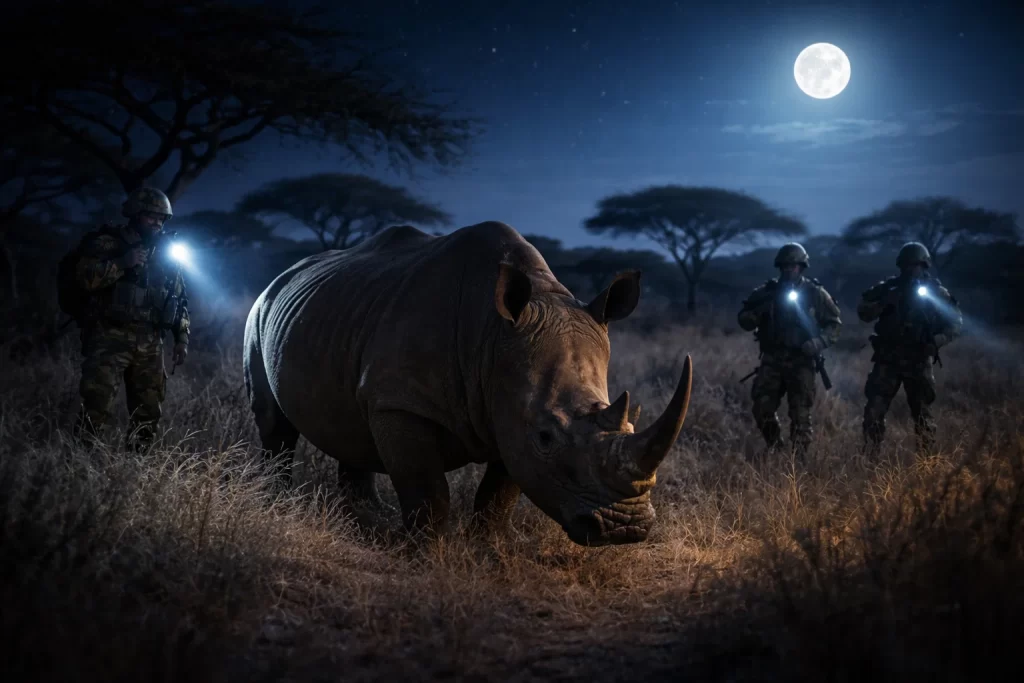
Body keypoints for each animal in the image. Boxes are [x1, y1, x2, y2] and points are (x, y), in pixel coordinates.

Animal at [243, 221, 692, 546]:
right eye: (546, 437)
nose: (624, 529)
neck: (492, 337)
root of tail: (282, 276)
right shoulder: (401, 401)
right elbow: (427, 488)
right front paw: (427, 554)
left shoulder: (509, 413)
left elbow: (499, 493)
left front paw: (490, 551)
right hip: (259, 312)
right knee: (274, 424)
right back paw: (279, 502)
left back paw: (366, 517)